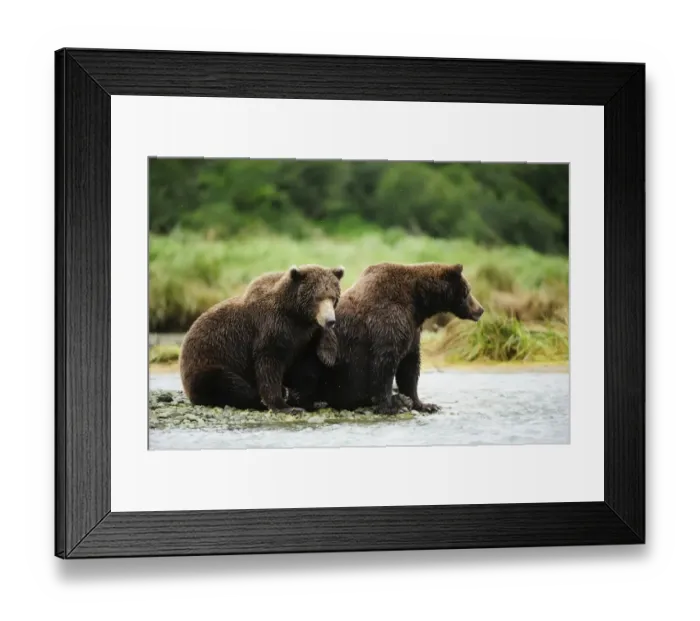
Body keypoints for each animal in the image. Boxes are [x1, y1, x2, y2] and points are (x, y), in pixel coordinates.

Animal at [179, 264, 344, 413]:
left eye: (333, 297)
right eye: (317, 298)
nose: (330, 320)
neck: (295, 315)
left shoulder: (301, 337)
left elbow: (306, 364)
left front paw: (328, 355)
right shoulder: (271, 329)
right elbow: (269, 365)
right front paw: (284, 406)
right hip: (209, 362)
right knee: (227, 384)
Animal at [315, 262, 484, 414]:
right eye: (468, 290)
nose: (480, 309)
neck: (417, 303)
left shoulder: (413, 329)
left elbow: (410, 366)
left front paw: (425, 404)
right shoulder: (389, 322)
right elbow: (384, 363)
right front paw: (391, 406)